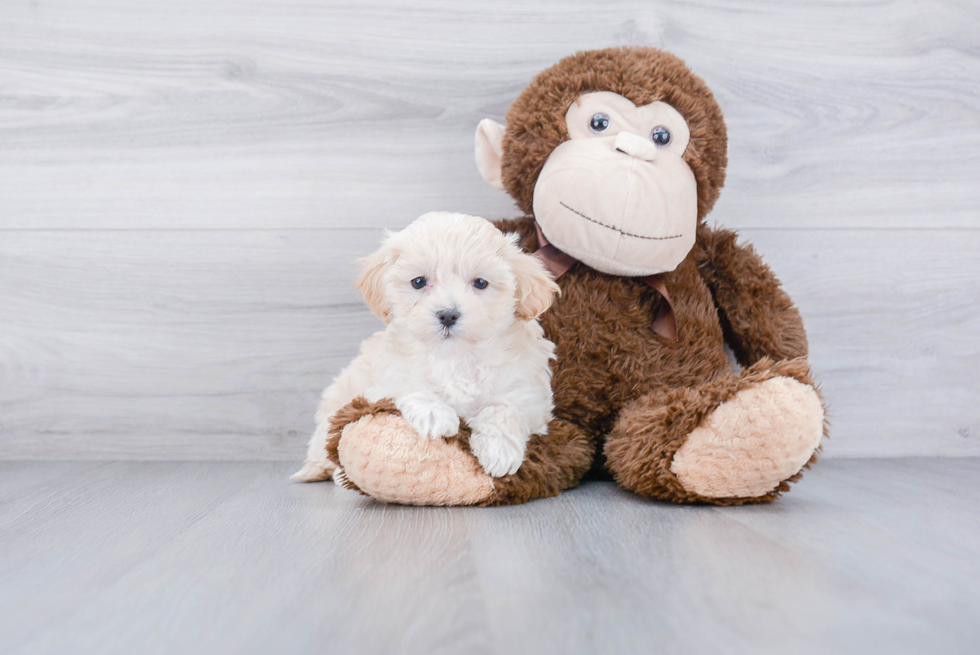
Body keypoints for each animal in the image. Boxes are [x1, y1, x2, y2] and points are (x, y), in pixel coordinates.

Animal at [292, 213, 560, 484]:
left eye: (480, 283)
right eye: (419, 282)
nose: (448, 314)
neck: (455, 355)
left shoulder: (528, 394)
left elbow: (504, 410)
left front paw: (498, 449)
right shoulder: (383, 380)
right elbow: (408, 384)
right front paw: (435, 414)